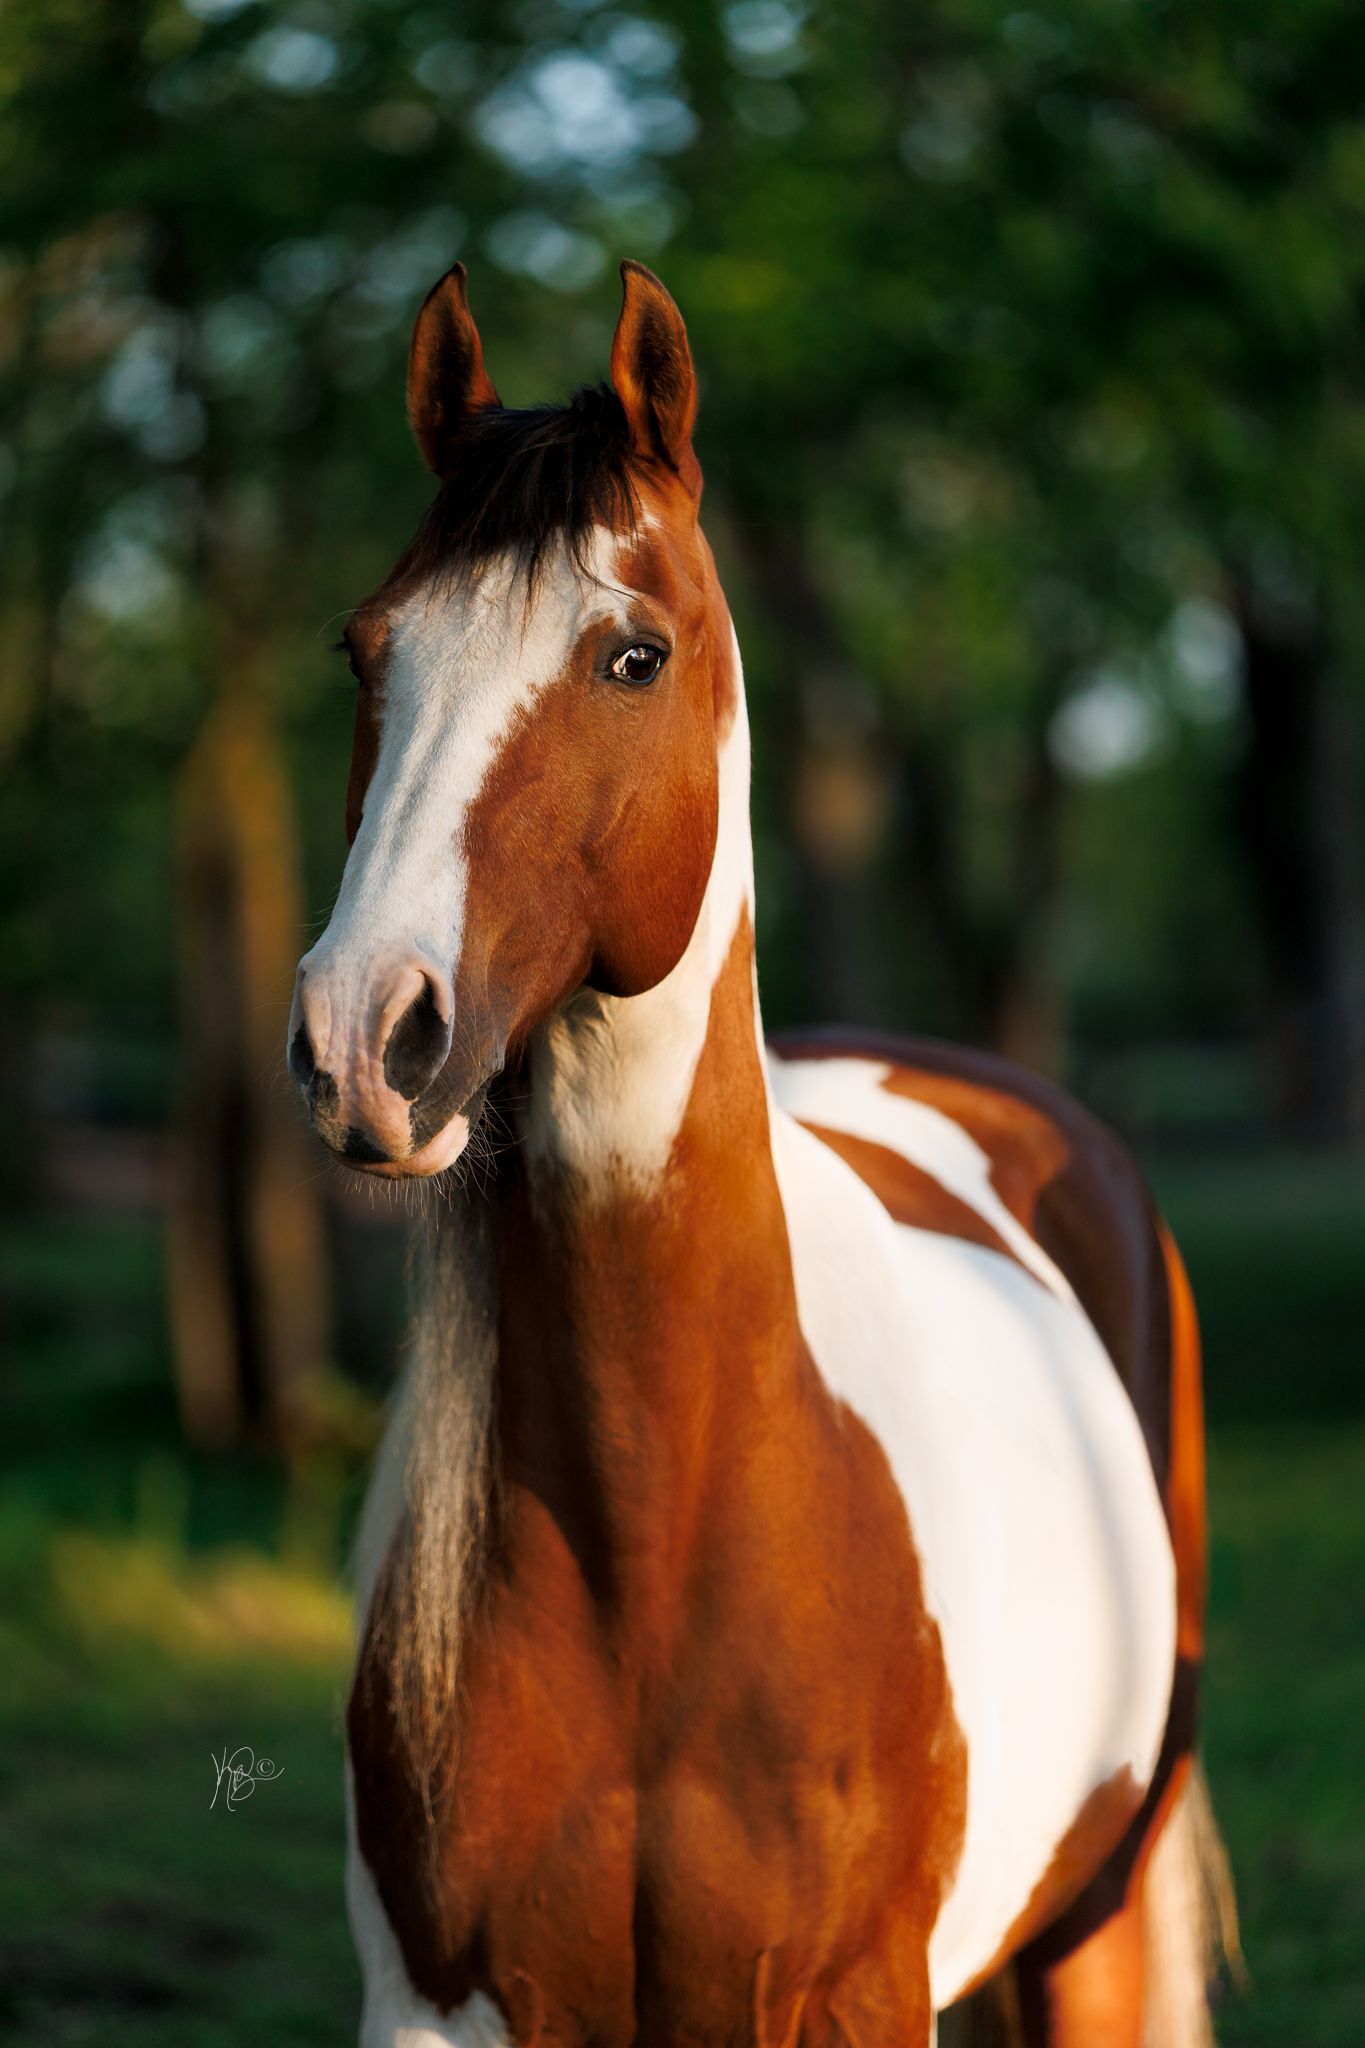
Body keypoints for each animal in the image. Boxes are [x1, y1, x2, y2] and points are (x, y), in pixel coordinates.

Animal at [289, 259, 1233, 2048]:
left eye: (631, 656)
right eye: (365, 649)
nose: (366, 1036)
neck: (657, 1540)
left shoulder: (852, 1999)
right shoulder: (437, 2008)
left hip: (1094, 1924)